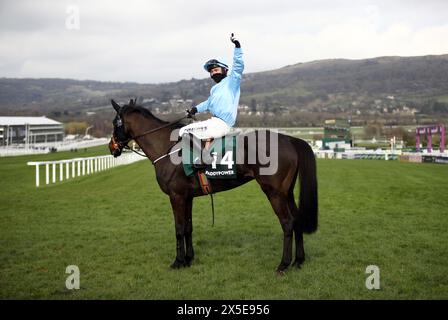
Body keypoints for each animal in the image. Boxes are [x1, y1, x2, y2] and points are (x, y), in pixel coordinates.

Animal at [108, 99, 318, 274]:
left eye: (114, 123)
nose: (112, 147)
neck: (167, 149)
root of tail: (290, 139)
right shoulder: (187, 197)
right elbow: (188, 227)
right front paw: (189, 259)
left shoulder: (176, 196)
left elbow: (178, 228)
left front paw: (178, 261)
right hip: (287, 192)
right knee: (297, 219)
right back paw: (299, 261)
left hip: (274, 193)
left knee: (287, 222)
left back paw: (283, 264)